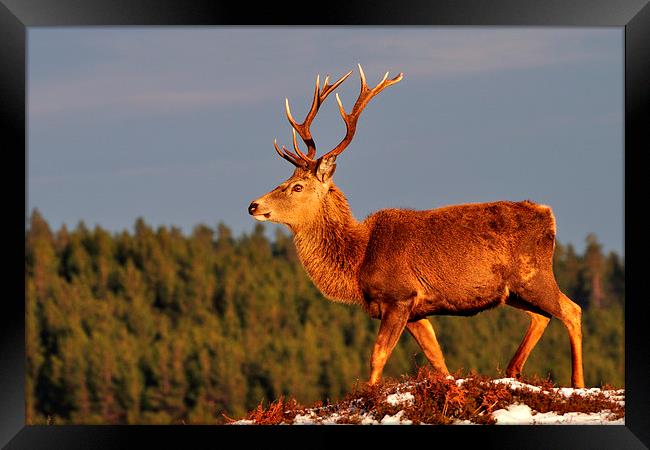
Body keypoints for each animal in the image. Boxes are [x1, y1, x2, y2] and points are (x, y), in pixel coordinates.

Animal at [246, 65, 584, 388]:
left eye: (297, 186)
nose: (253, 205)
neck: (358, 260)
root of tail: (548, 215)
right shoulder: (416, 310)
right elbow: (437, 358)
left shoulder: (399, 295)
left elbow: (378, 355)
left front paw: (368, 394)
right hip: (513, 290)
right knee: (541, 317)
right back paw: (514, 370)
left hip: (533, 274)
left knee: (571, 310)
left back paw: (576, 383)